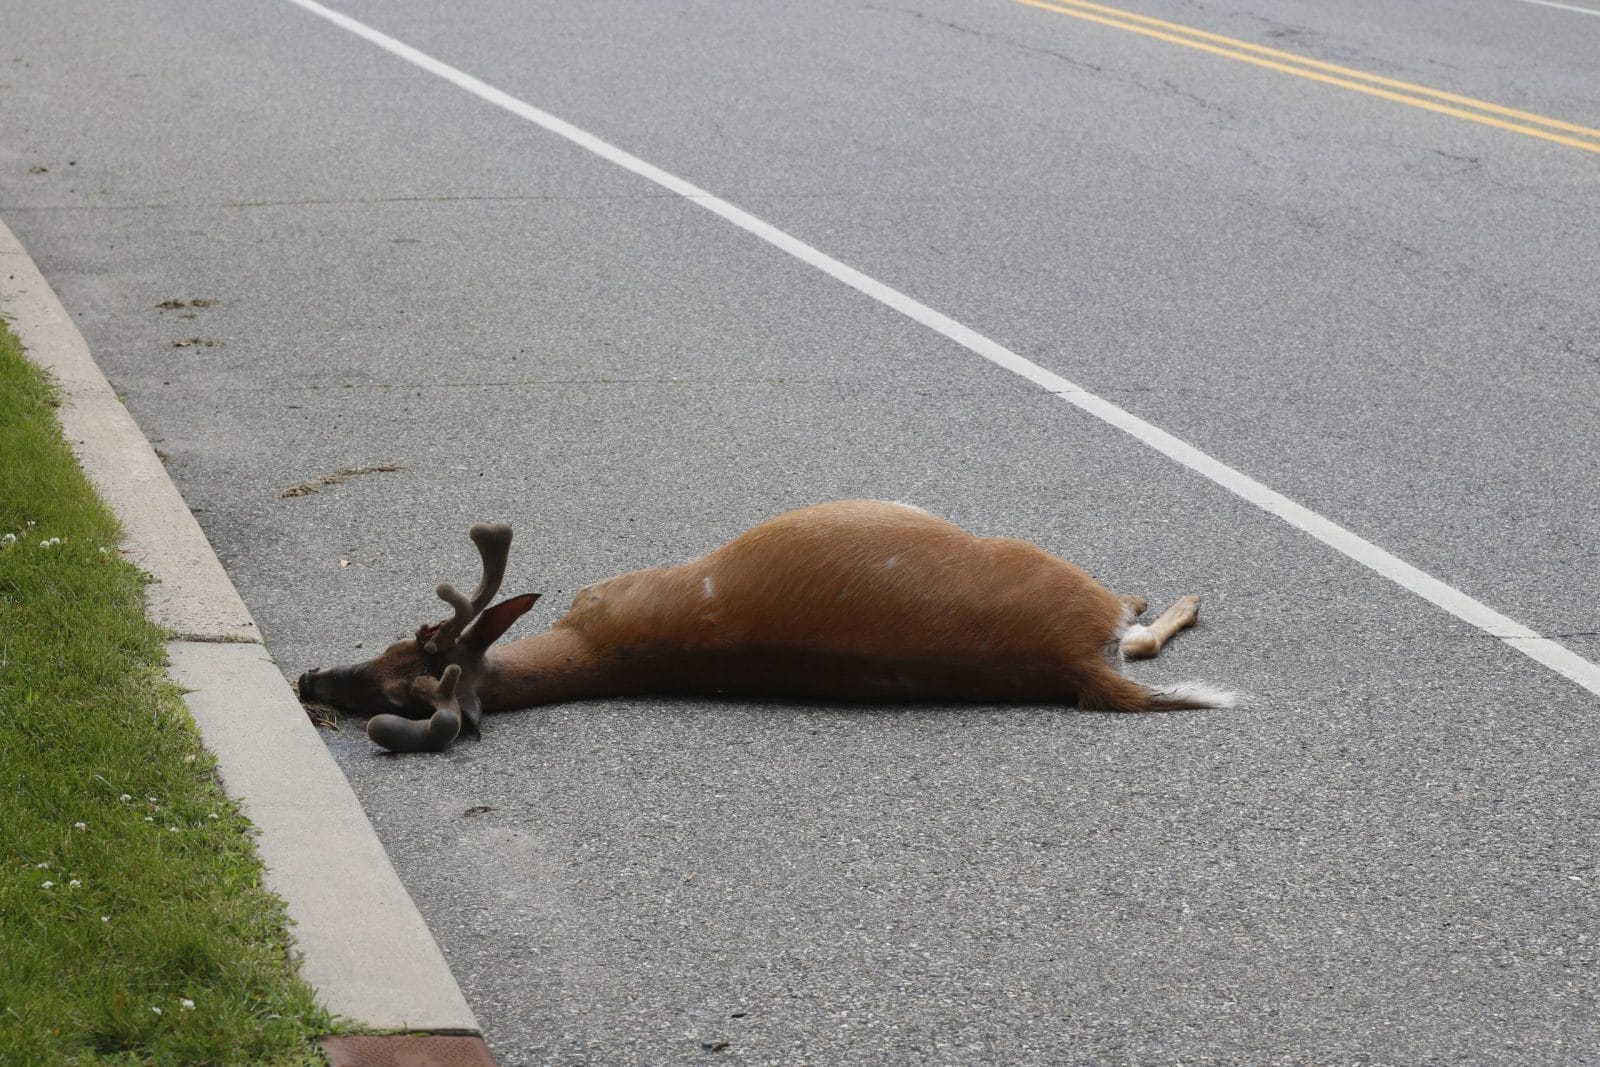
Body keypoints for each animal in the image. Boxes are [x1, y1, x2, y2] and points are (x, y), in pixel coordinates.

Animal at [297, 499, 1236, 753]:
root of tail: (1073, 665)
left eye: (412, 643)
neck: (603, 646)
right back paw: (1168, 598)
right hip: (1067, 579)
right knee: (1131, 627)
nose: (308, 678)